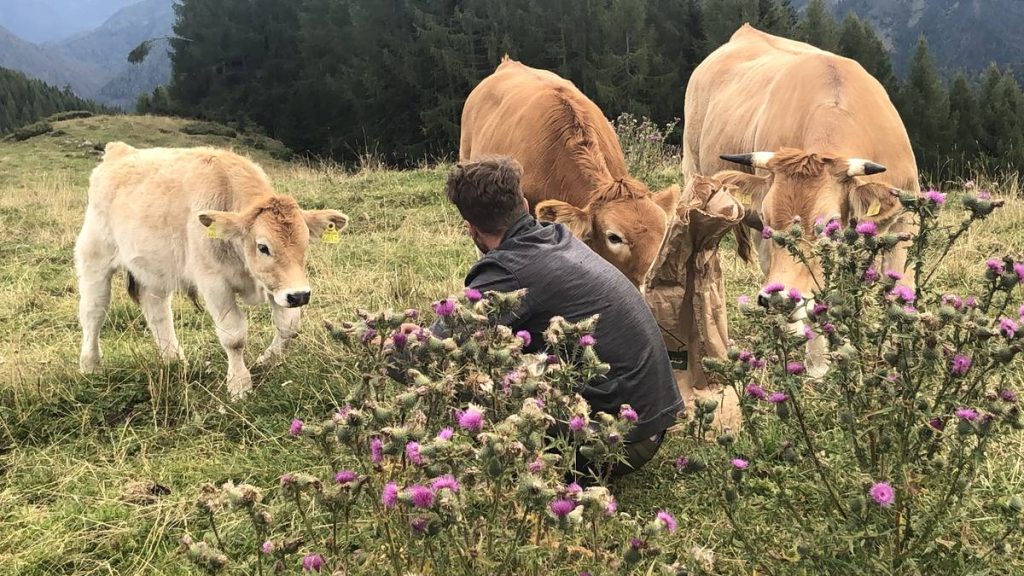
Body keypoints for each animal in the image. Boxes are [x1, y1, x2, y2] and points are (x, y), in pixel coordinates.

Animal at [74, 142, 349, 399]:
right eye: (263, 247)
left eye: (305, 244)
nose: (300, 295)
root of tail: (119, 150)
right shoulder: (214, 283)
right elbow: (234, 336)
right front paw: (239, 385)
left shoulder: (277, 285)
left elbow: (289, 326)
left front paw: (265, 361)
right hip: (95, 256)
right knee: (94, 311)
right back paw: (91, 366)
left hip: (154, 270)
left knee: (157, 312)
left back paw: (174, 360)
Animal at [683, 24, 919, 375]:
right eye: (768, 220)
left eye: (830, 225)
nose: (777, 299)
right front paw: (819, 365)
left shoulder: (905, 219)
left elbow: (900, 291)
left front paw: (896, 363)